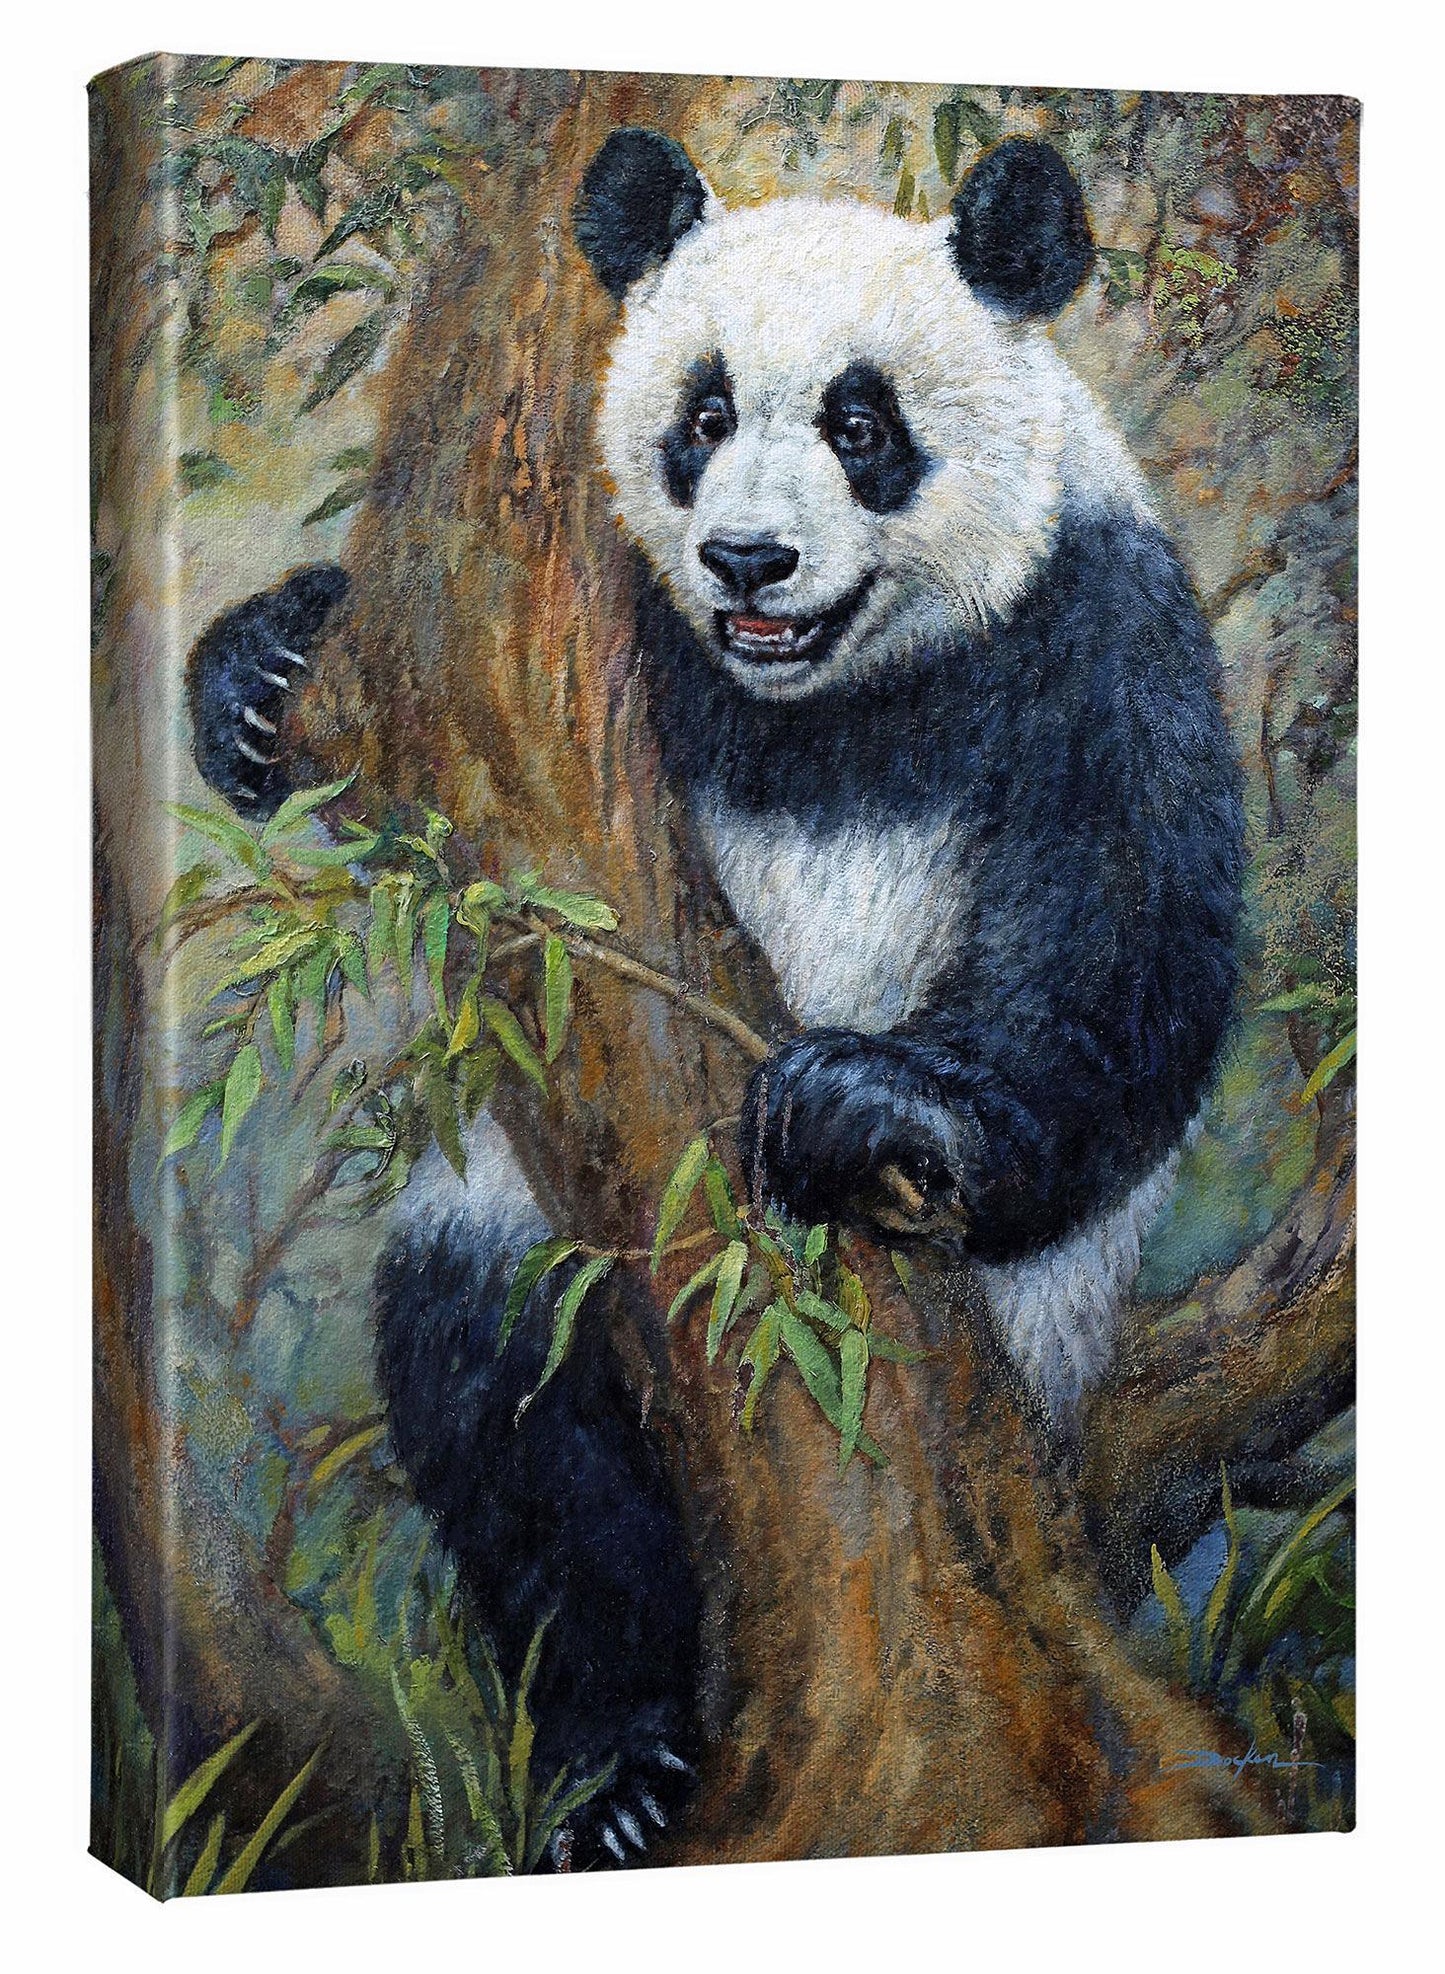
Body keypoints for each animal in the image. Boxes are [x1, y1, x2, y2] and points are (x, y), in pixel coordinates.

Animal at [187, 130, 1243, 1868]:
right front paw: (262, 676)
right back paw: (620, 1762)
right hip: (514, 1208)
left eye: (861, 424)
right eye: (701, 415)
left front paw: (870, 1105)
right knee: (510, 1409)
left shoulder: (1094, 625)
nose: (750, 557)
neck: (821, 689)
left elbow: (1132, 945)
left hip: (1034, 1330)